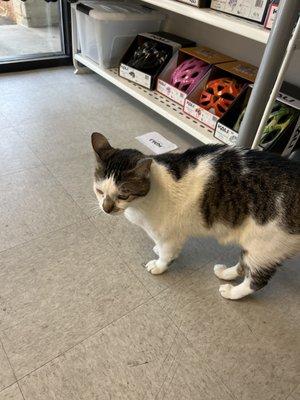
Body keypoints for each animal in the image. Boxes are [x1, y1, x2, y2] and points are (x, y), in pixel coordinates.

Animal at [91, 133, 300, 298]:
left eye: (122, 195)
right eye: (99, 191)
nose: (106, 208)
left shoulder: (169, 235)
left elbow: (167, 254)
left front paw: (159, 265)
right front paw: (159, 250)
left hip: (264, 246)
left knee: (257, 280)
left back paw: (231, 292)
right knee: (244, 265)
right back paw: (225, 273)